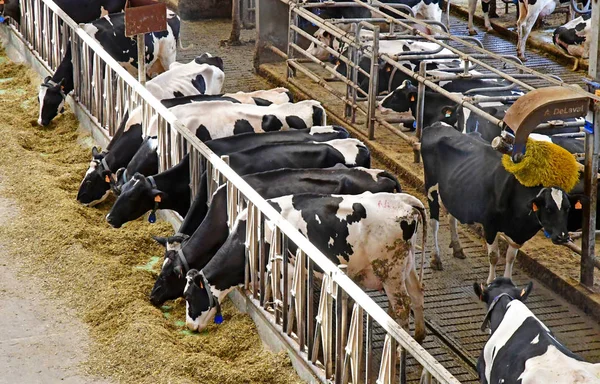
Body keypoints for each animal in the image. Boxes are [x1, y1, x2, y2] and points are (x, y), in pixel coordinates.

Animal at [182, 192, 426, 342]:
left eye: (189, 297)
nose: (190, 326)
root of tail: (404, 201)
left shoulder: (286, 271)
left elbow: (289, 302)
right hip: (407, 266)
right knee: (416, 293)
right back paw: (419, 335)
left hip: (390, 271)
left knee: (402, 306)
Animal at [422, 123, 576, 282]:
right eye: (548, 208)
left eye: (568, 208)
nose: (563, 237)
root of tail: (439, 125)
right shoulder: (490, 225)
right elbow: (494, 256)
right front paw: (490, 282)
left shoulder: (518, 235)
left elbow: (511, 258)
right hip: (431, 188)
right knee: (434, 223)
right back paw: (436, 258)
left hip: (452, 192)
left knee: (452, 217)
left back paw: (457, 248)